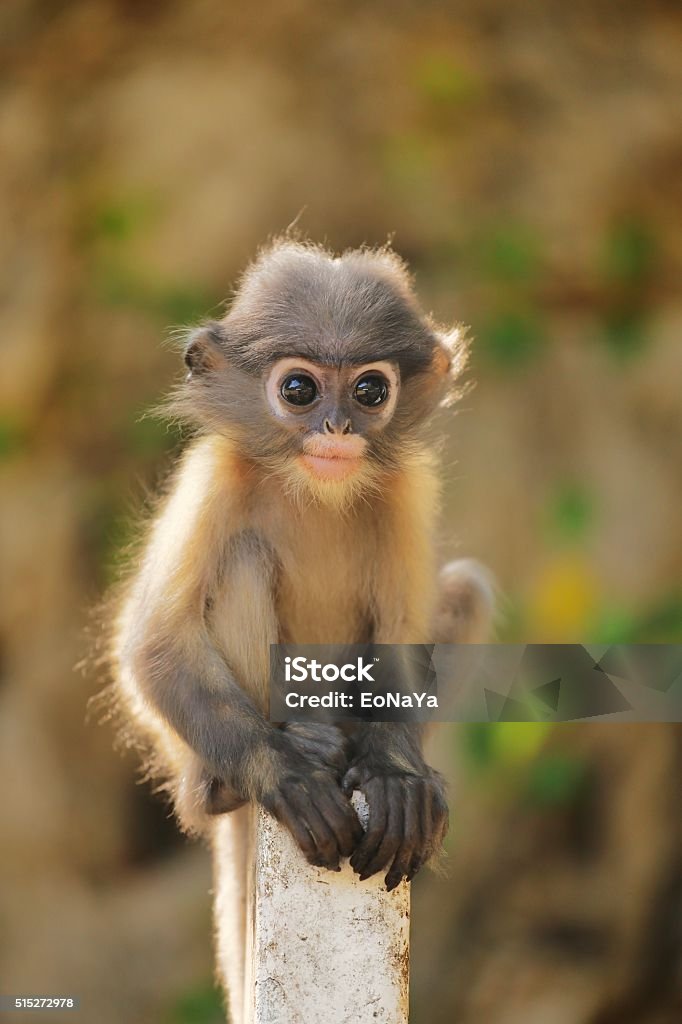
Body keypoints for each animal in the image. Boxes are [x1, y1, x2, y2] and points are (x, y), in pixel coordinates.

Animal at [112, 239, 489, 1015]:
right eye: (299, 390)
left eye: (371, 391)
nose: (337, 427)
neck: (315, 486)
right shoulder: (214, 473)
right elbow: (155, 644)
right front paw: (281, 772)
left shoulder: (407, 486)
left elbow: (403, 631)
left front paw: (396, 772)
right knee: (243, 557)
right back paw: (250, 773)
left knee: (464, 589)